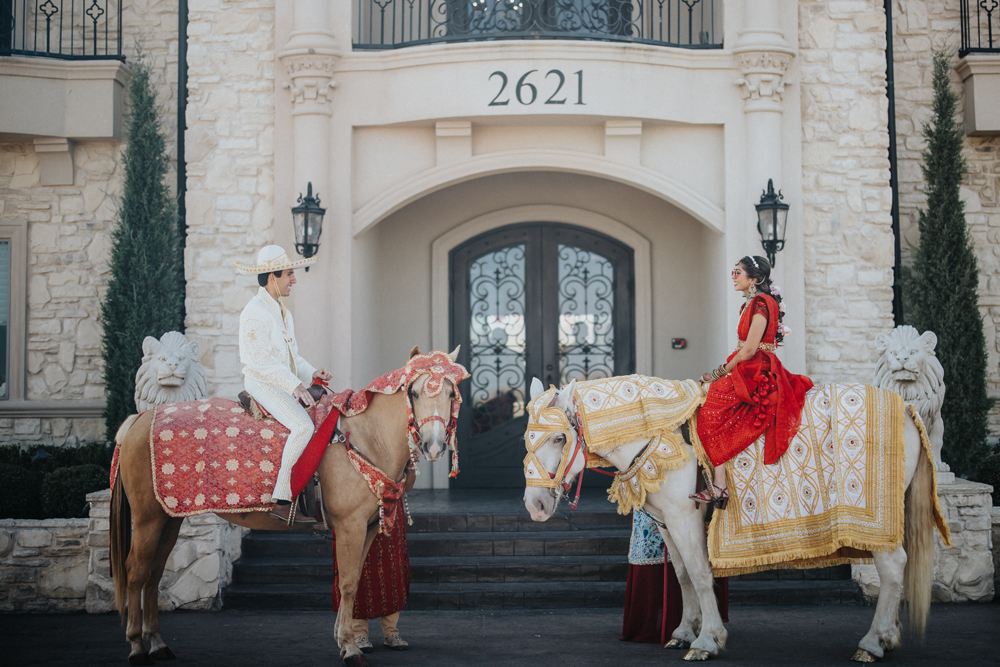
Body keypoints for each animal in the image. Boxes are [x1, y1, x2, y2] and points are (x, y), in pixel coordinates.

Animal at [110, 348, 464, 664]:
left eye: (450, 393)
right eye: (414, 393)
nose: (434, 445)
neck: (364, 436)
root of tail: (140, 418)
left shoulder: (366, 528)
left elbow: (353, 581)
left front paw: (345, 640)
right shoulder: (349, 527)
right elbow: (348, 583)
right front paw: (350, 647)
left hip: (169, 517)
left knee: (154, 574)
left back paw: (157, 643)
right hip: (147, 518)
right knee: (137, 572)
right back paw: (136, 645)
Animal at [524, 376, 936, 664]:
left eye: (560, 438)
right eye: (527, 440)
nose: (535, 505)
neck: (658, 434)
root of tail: (907, 409)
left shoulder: (685, 518)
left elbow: (701, 574)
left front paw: (707, 640)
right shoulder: (665, 522)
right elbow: (682, 576)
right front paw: (683, 631)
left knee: (893, 567)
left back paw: (873, 642)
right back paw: (888, 637)